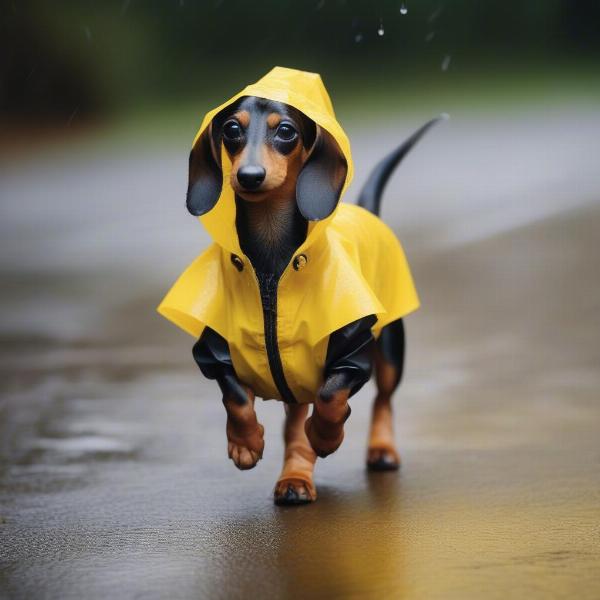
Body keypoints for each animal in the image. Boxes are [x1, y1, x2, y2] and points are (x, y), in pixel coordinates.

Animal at [157, 67, 442, 506]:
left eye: (286, 131)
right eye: (232, 130)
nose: (249, 176)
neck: (272, 264)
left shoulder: (352, 355)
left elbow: (330, 397)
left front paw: (325, 437)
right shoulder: (214, 352)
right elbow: (235, 396)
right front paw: (245, 443)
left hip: (391, 346)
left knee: (383, 399)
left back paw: (379, 449)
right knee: (293, 425)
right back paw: (294, 478)